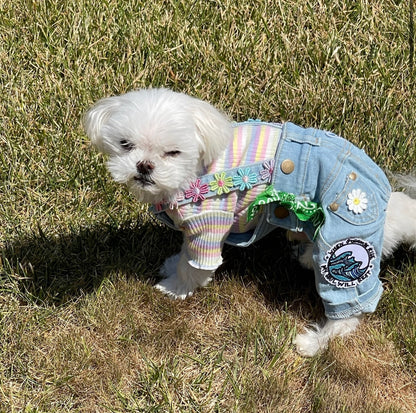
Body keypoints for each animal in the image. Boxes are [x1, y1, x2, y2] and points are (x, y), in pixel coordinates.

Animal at [84, 87, 416, 358]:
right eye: (125, 144)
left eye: (172, 152)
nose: (144, 166)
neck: (196, 172)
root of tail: (387, 199)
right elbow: (184, 253)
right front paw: (173, 264)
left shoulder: (208, 223)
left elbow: (193, 265)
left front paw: (175, 288)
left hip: (344, 235)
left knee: (348, 312)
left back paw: (313, 342)